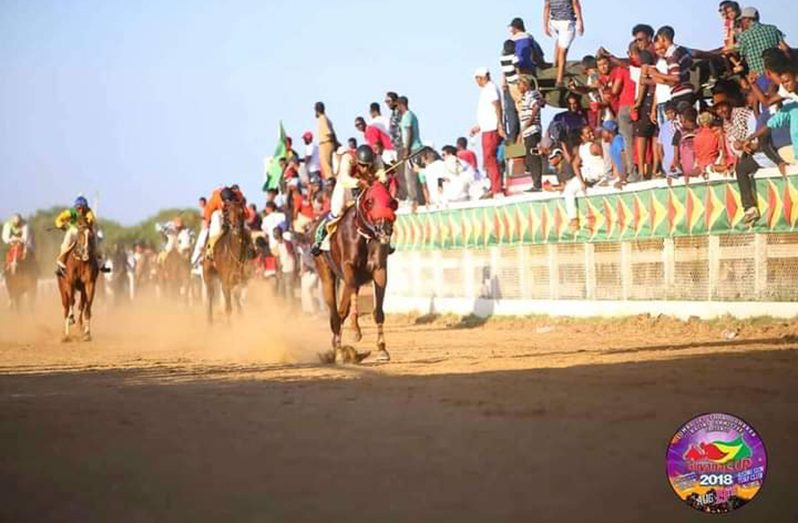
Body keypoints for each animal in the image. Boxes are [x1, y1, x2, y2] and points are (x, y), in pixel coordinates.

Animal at [314, 180, 398, 364]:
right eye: (370, 202)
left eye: (392, 202)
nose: (385, 229)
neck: (364, 236)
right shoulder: (349, 267)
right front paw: (355, 331)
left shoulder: (379, 270)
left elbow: (378, 311)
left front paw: (382, 349)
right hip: (325, 273)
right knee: (335, 313)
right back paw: (338, 352)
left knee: (341, 311)